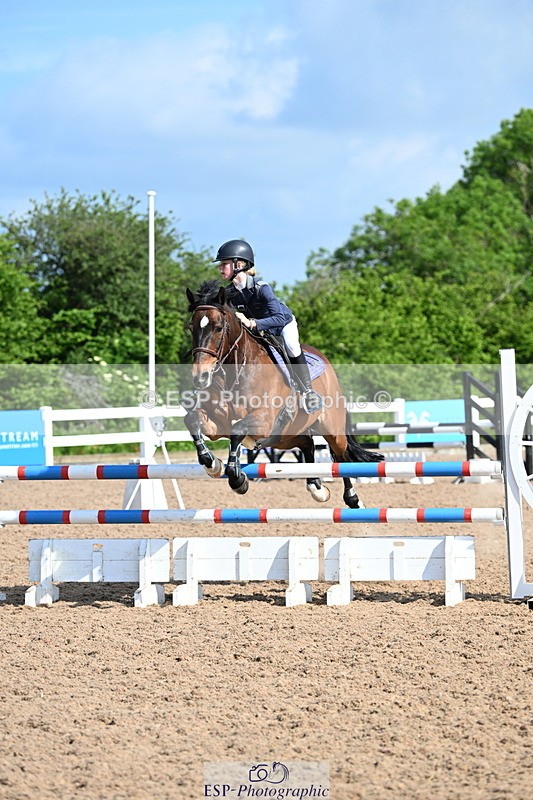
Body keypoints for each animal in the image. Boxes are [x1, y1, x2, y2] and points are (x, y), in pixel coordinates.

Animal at [183, 280, 383, 508]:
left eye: (218, 328)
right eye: (191, 328)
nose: (200, 377)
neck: (235, 374)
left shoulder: (264, 420)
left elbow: (238, 428)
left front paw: (237, 479)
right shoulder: (218, 423)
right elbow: (192, 420)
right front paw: (212, 464)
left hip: (331, 429)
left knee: (340, 457)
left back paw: (352, 499)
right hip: (285, 435)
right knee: (307, 444)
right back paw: (316, 487)